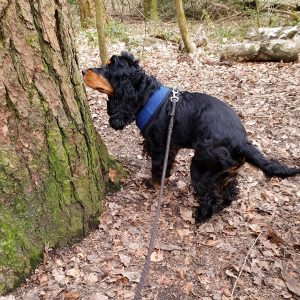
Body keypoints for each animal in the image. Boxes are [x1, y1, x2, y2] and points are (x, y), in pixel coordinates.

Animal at [82, 51, 300, 221]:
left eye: (108, 68)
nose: (83, 71)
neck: (146, 96)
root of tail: (241, 142)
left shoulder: (159, 147)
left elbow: (157, 170)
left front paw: (152, 185)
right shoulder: (172, 146)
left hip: (202, 167)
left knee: (210, 197)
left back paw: (201, 216)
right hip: (225, 171)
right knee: (230, 190)